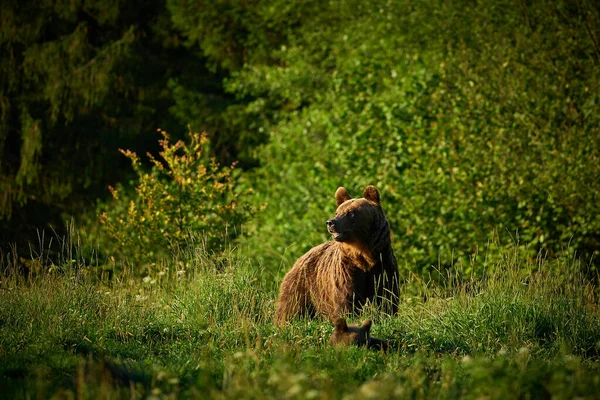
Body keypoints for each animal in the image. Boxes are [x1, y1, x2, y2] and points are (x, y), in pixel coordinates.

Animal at [276, 184, 398, 324]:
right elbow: (345, 297)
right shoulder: (346, 269)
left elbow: (387, 295)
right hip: (302, 284)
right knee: (290, 305)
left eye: (351, 212)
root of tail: (301, 258)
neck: (364, 257)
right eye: (337, 212)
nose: (331, 222)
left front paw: (387, 314)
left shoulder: (383, 264)